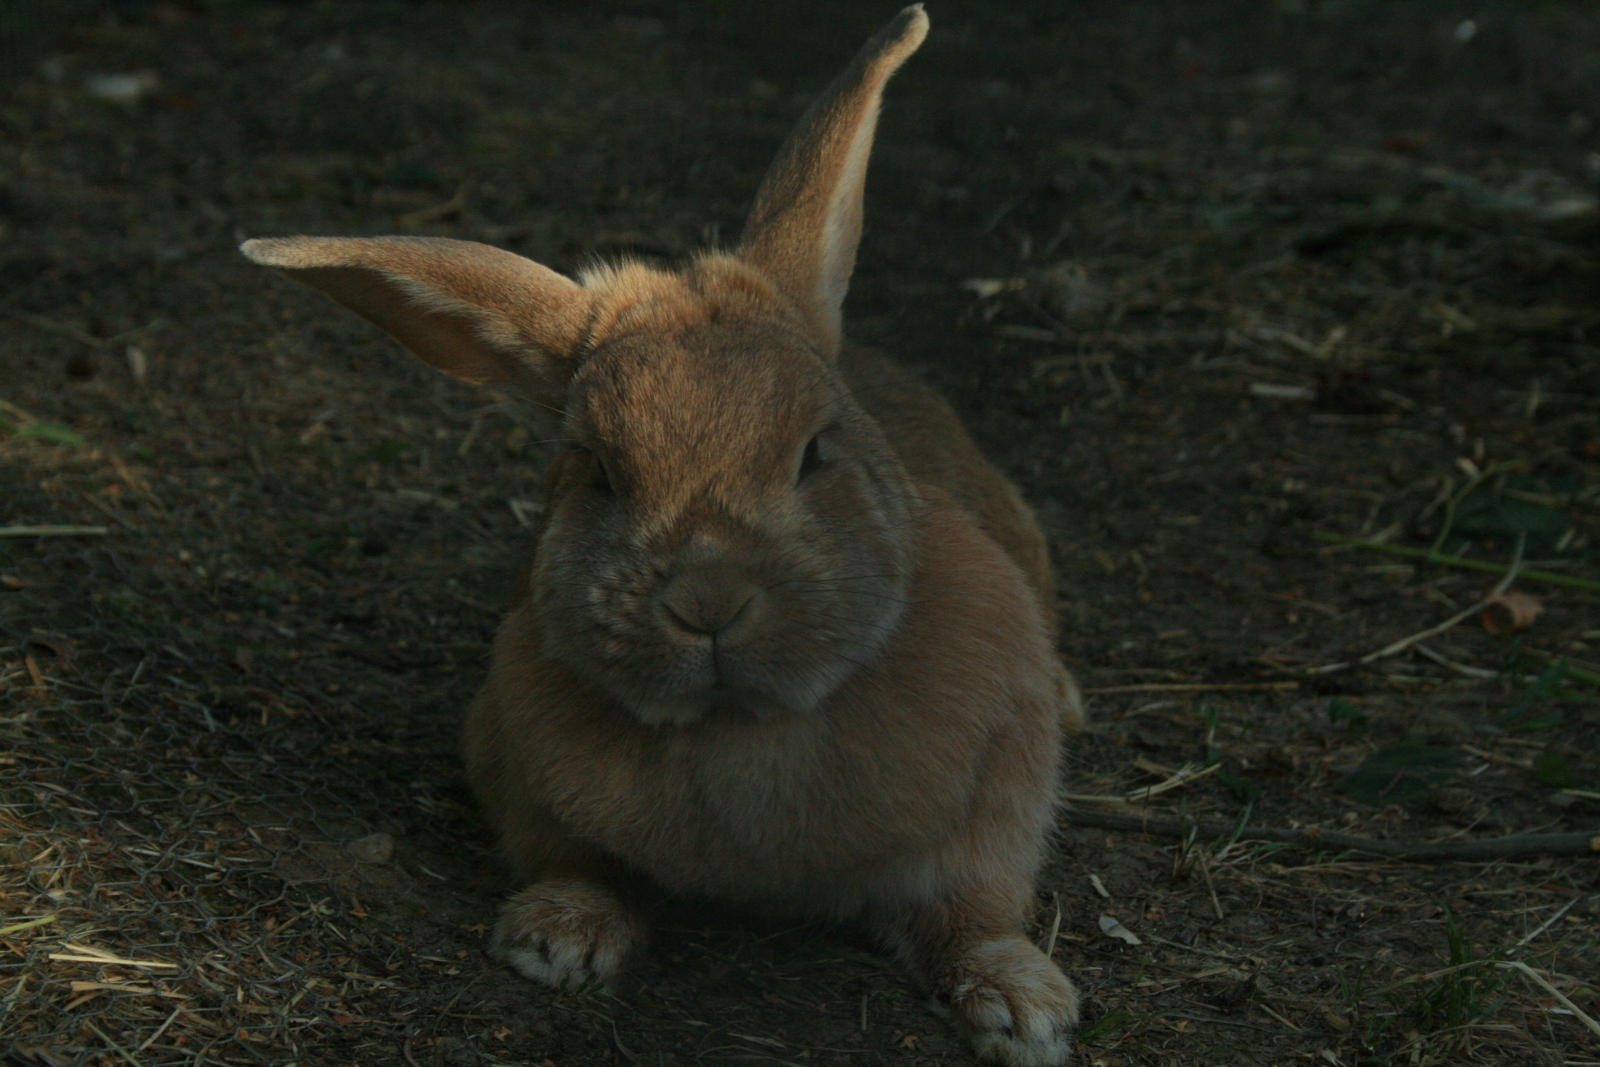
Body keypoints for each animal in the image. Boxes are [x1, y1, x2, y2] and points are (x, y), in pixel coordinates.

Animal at [241, 5, 1084, 1064]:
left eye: (815, 451)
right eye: (600, 472)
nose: (707, 602)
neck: (740, 729)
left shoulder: (995, 794)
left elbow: (973, 911)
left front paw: (1025, 1007)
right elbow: (580, 865)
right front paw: (556, 939)